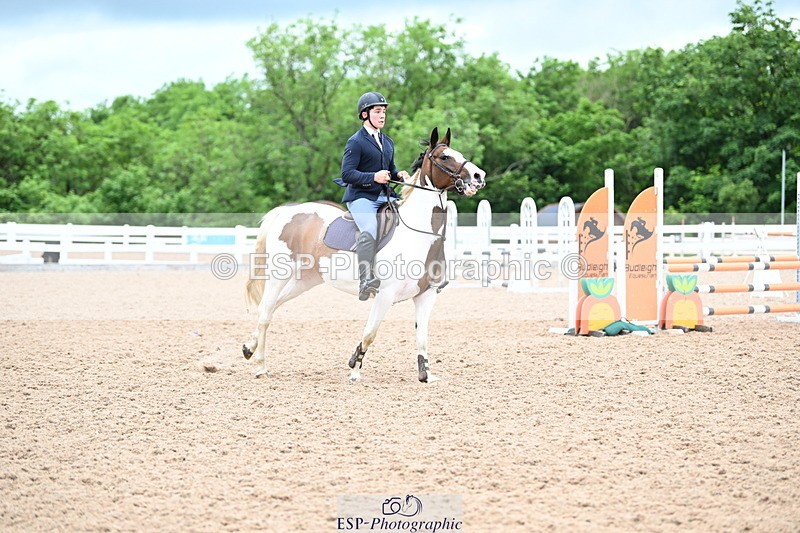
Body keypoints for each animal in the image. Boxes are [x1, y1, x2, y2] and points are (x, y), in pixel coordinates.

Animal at [242, 127, 486, 382]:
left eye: (459, 154)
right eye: (444, 157)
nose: (479, 176)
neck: (419, 234)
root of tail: (286, 212)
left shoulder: (426, 295)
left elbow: (422, 338)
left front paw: (426, 375)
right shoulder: (385, 295)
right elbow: (370, 333)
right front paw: (355, 370)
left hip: (306, 279)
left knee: (272, 307)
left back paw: (249, 348)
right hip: (279, 274)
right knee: (265, 312)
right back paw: (260, 367)